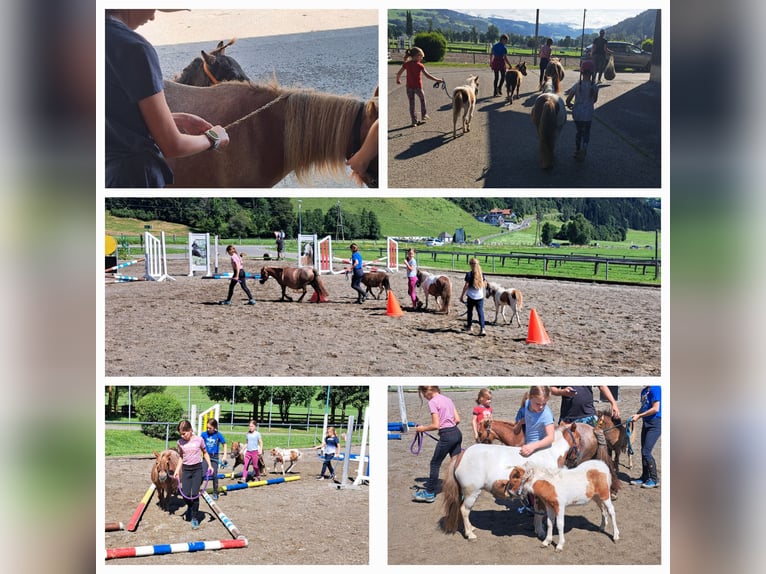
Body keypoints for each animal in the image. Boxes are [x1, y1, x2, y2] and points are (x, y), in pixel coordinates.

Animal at [440, 424, 584, 540]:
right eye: (579, 439)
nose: (575, 459)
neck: (549, 454)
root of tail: (461, 455)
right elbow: (539, 513)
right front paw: (541, 532)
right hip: (472, 492)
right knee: (464, 510)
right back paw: (470, 534)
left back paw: (471, 528)